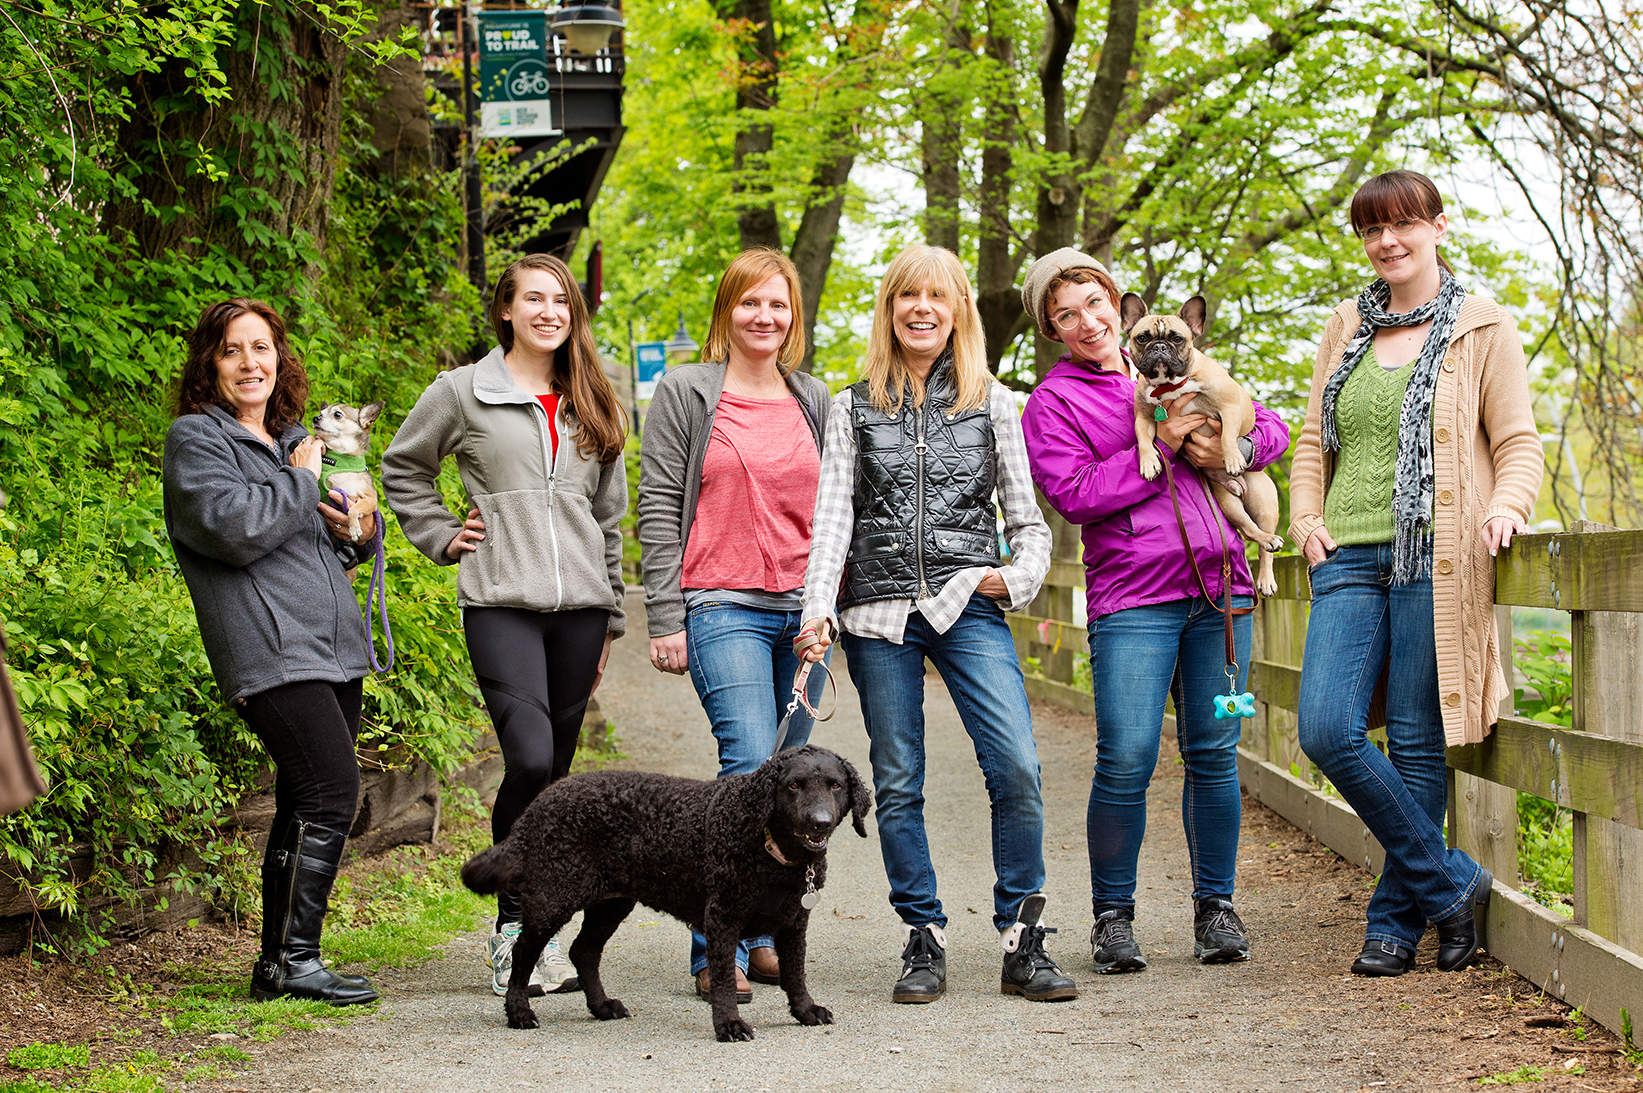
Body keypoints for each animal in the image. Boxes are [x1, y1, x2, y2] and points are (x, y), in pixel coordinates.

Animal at [460, 742, 874, 1038]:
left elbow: (795, 974)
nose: (819, 822)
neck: (770, 849)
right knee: (525, 952)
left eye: (835, 785)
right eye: (793, 785)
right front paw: (729, 1024)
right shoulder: (722, 918)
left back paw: (602, 1006)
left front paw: (805, 1011)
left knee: (584, 951)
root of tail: (539, 804)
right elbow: (724, 980)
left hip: (612, 903)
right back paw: (519, 1012)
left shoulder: (795, 922)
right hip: (554, 897)